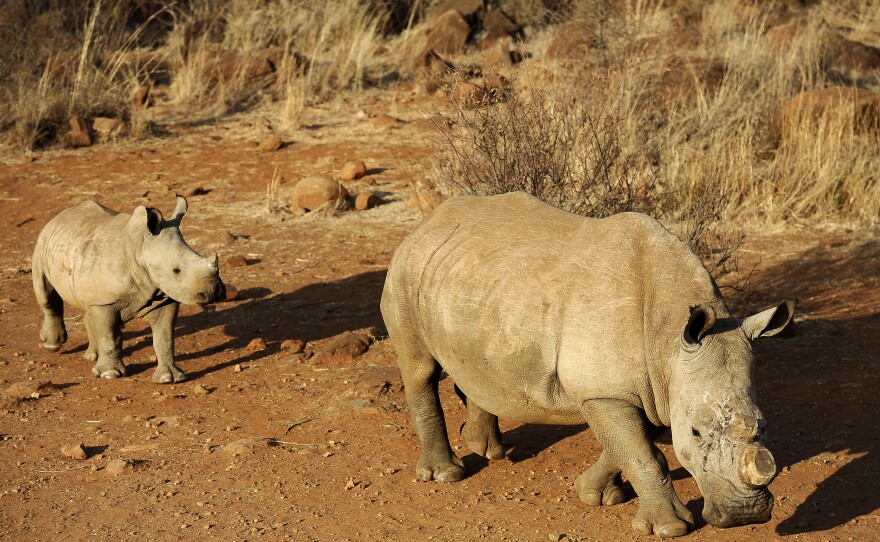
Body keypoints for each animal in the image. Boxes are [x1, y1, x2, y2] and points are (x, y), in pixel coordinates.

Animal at [32, 195, 225, 383]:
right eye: (176, 270)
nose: (213, 292)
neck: (140, 247)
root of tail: (59, 216)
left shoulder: (164, 297)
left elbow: (165, 338)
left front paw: (169, 378)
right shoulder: (104, 302)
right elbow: (109, 337)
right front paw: (109, 375)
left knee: (87, 306)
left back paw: (93, 357)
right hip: (42, 243)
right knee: (46, 294)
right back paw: (52, 345)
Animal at [380, 192, 794, 537]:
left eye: (764, 426)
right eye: (694, 433)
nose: (746, 515)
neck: (668, 337)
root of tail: (426, 223)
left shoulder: (642, 387)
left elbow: (629, 445)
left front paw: (595, 495)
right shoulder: (607, 391)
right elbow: (643, 453)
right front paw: (669, 528)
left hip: (471, 282)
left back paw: (487, 450)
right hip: (407, 270)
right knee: (420, 368)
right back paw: (446, 475)